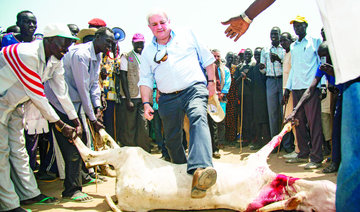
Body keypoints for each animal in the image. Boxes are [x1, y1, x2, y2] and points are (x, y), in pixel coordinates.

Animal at [71, 122, 336, 212]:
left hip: (129, 158)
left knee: (94, 155)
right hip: (131, 154)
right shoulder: (256, 160)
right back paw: (83, 130)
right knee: (92, 154)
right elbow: (274, 139)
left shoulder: (251, 204)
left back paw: (91, 134)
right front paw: (290, 124)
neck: (271, 184)